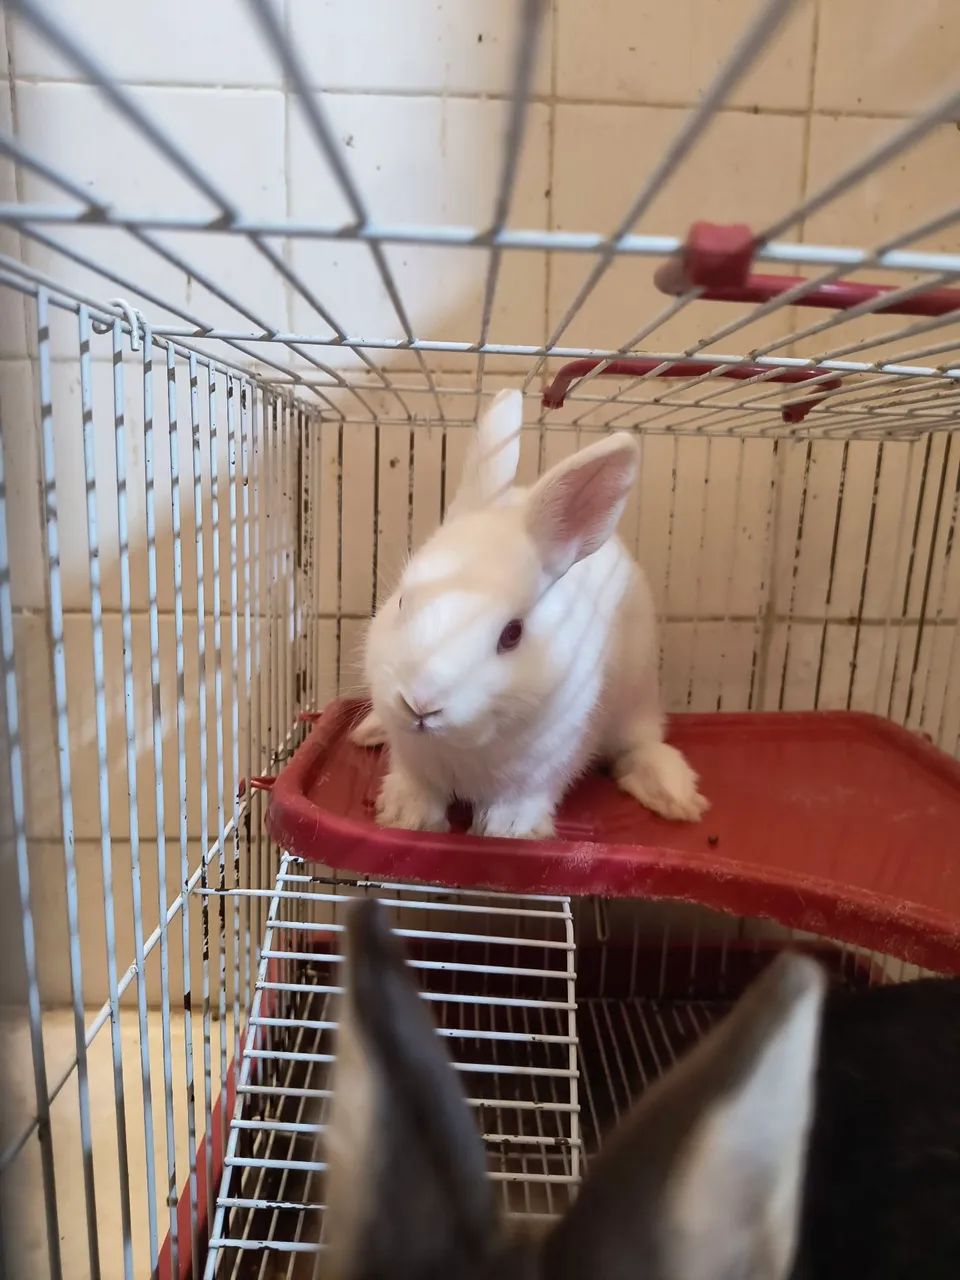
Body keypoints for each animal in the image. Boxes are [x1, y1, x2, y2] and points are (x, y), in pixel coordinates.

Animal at [351, 388, 707, 839]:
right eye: (401, 601)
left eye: (512, 634)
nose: (420, 703)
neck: (459, 747)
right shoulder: (413, 761)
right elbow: (417, 788)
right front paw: (404, 816)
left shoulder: (547, 764)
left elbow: (522, 800)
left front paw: (509, 830)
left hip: (637, 697)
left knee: (639, 746)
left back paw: (674, 796)